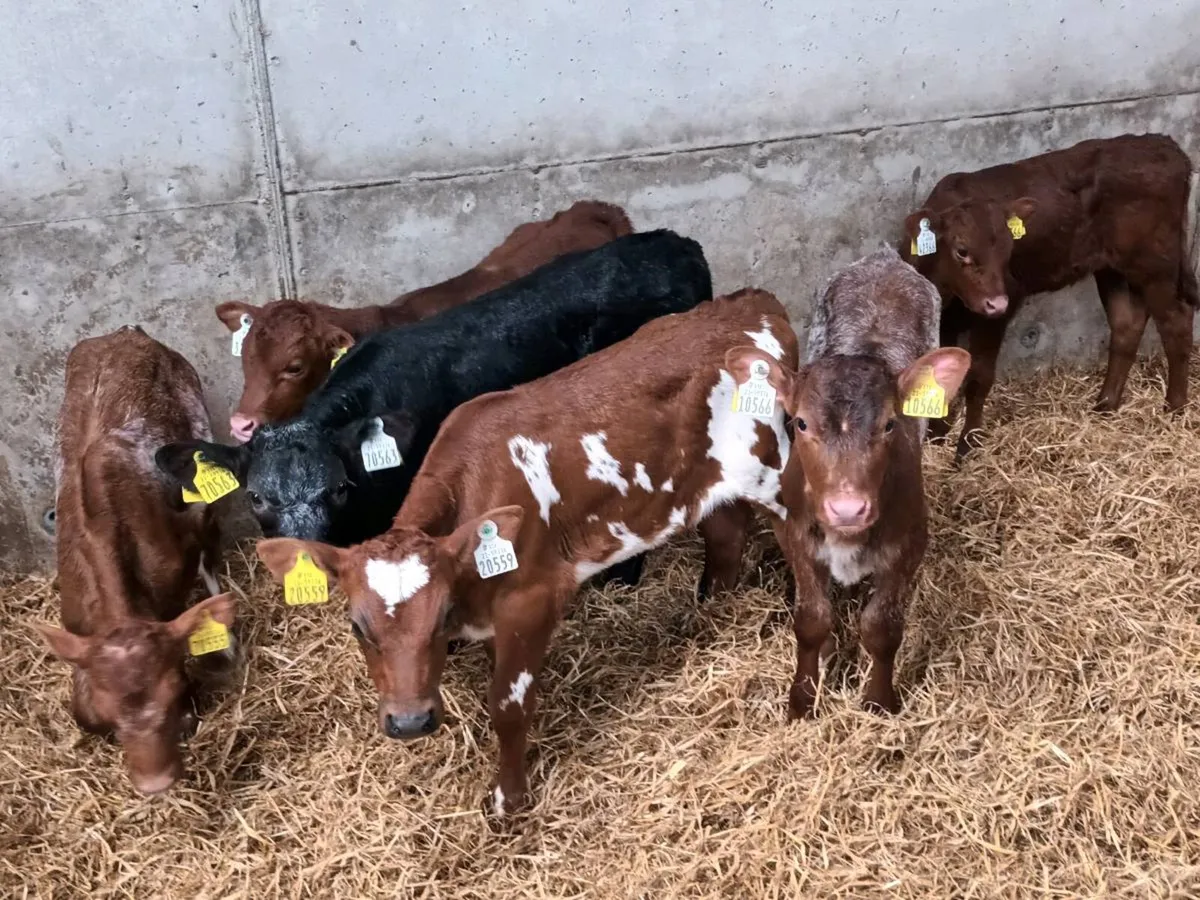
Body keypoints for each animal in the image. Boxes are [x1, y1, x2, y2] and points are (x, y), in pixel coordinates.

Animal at [251, 289, 799, 816]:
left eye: (441, 616)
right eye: (357, 627)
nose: (409, 722)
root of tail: (754, 304)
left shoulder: (531, 600)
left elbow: (507, 706)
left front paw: (508, 800)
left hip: (776, 476)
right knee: (727, 535)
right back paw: (712, 613)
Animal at [900, 133, 1199, 458]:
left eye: (1008, 250)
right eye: (962, 251)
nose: (996, 302)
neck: (950, 293)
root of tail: (1164, 145)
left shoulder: (1001, 309)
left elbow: (979, 378)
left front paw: (967, 444)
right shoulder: (946, 315)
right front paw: (937, 434)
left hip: (1156, 266)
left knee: (1176, 323)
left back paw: (1174, 409)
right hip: (1113, 269)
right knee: (1127, 325)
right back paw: (1105, 406)